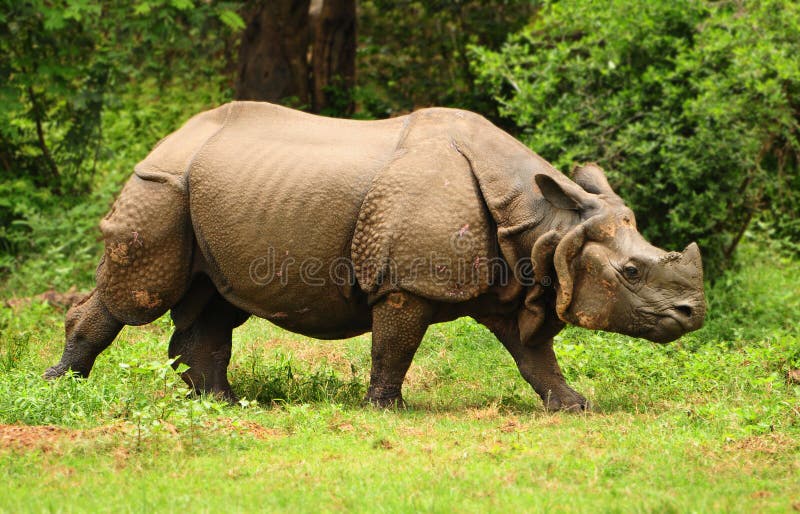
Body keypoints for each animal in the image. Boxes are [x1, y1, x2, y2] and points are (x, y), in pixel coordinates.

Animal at [45, 102, 705, 411]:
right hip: (161, 185)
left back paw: (223, 404)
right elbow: (395, 346)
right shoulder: (407, 282)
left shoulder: (516, 281)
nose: (694, 313)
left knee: (214, 301)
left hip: (209, 192)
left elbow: (534, 356)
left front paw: (575, 406)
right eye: (632, 271)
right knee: (137, 295)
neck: (546, 225)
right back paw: (61, 388)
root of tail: (169, 138)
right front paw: (387, 409)